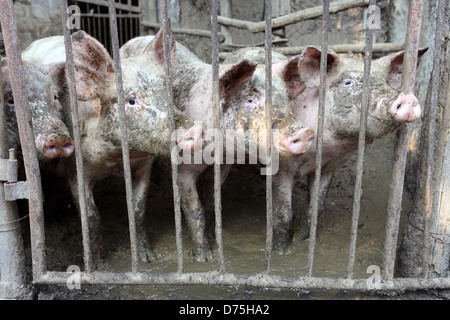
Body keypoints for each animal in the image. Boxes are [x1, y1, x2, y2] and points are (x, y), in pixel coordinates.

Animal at [24, 26, 206, 264]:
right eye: (131, 101)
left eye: (169, 95)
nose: (195, 130)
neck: (115, 159)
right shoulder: (76, 169)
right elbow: (92, 218)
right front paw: (97, 263)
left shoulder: (143, 168)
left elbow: (138, 211)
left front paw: (147, 258)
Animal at [121, 36, 314, 262]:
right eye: (249, 99)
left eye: (284, 100)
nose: (306, 132)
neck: (215, 152)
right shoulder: (182, 169)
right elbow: (196, 210)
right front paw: (204, 258)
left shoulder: (222, 166)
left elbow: (211, 203)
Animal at [227, 45, 428, 252]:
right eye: (348, 82)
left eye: (386, 83)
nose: (406, 96)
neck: (325, 150)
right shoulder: (281, 167)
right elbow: (283, 213)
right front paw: (281, 251)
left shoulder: (329, 167)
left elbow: (317, 207)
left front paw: (303, 240)